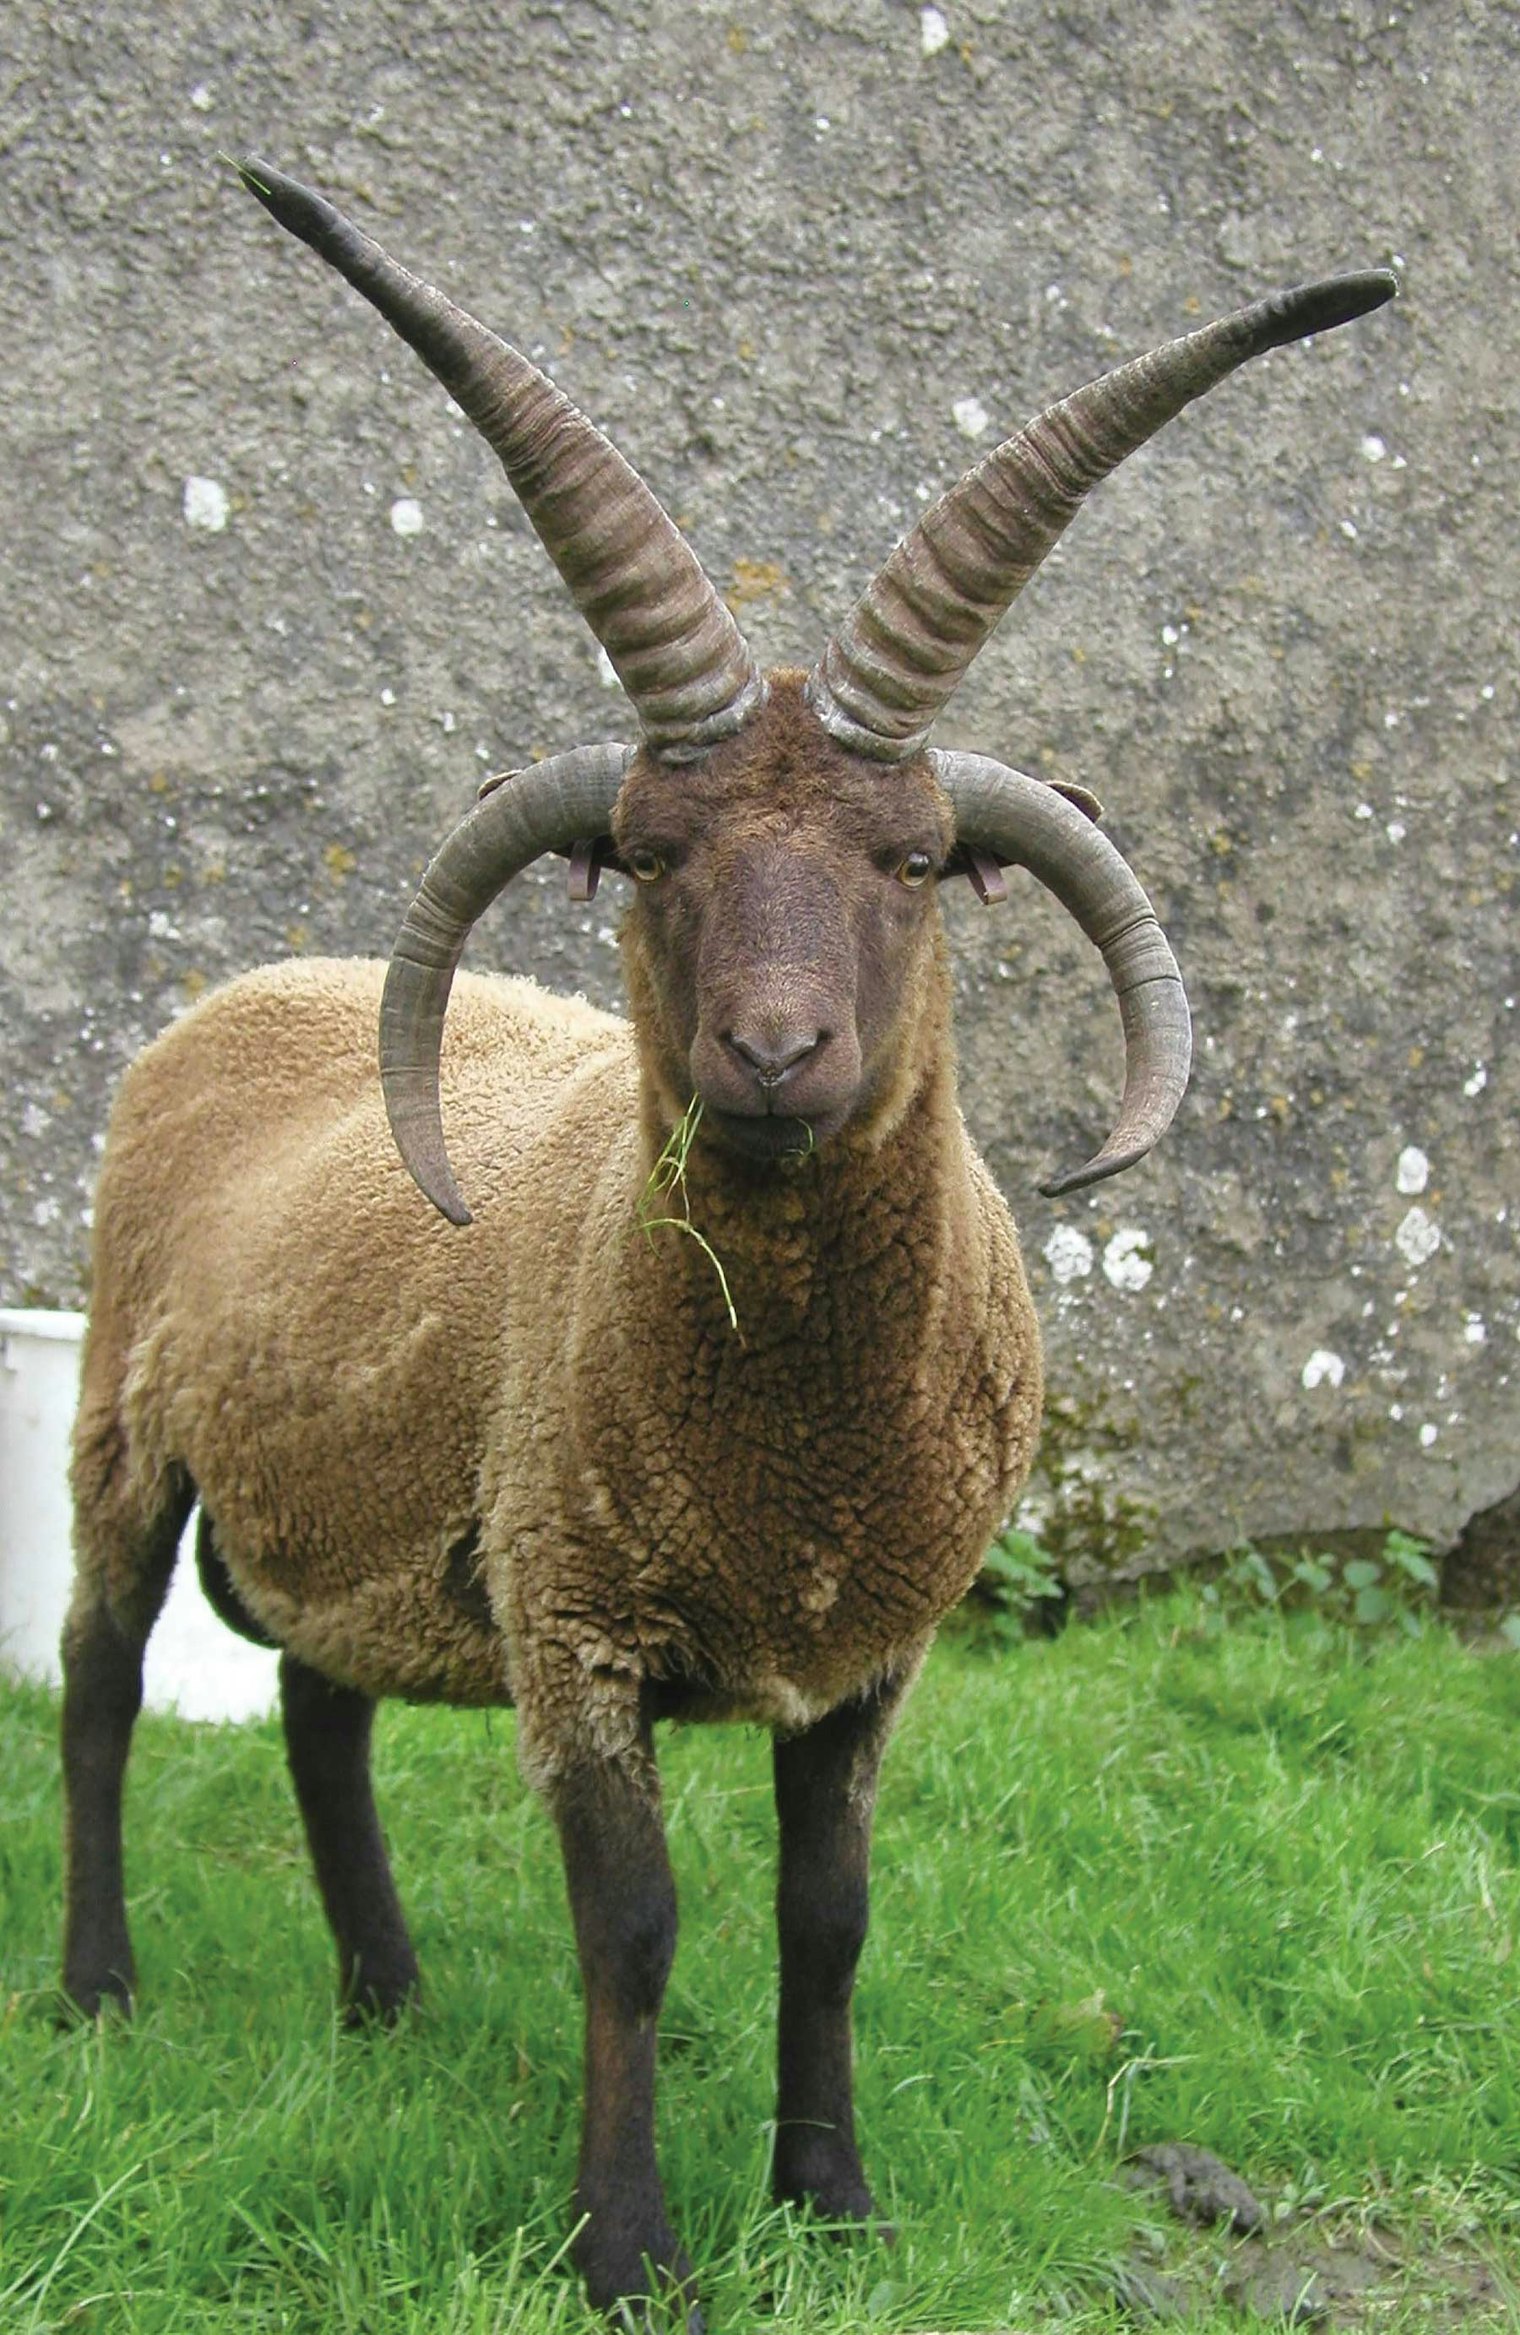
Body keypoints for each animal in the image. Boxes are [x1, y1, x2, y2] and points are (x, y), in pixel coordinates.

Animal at [59, 158, 1395, 2328]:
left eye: (917, 860)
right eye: (651, 853)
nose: (775, 1054)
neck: (797, 1448)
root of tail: (259, 984)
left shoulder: (872, 1656)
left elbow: (827, 1914)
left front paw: (830, 2201)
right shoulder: (575, 1621)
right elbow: (635, 1929)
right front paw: (628, 2250)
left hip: (361, 1495)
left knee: (319, 1706)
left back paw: (388, 1998)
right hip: (123, 1423)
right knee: (99, 1677)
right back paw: (98, 1991)